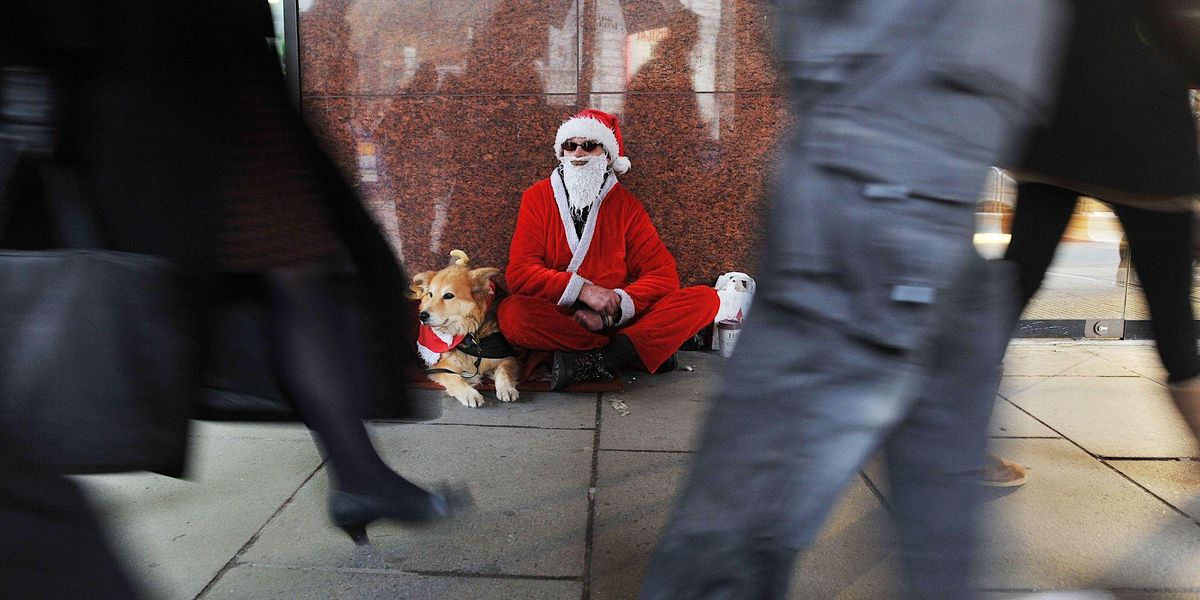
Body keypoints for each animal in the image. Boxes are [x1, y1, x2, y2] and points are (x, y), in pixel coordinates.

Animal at [412, 250, 520, 410]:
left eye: (448, 295)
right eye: (430, 294)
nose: (422, 315)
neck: (471, 337)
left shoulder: (507, 357)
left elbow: (504, 372)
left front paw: (507, 388)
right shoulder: (440, 366)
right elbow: (455, 378)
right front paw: (470, 394)